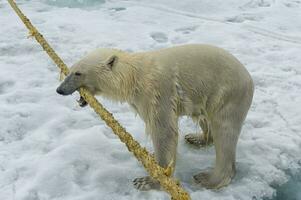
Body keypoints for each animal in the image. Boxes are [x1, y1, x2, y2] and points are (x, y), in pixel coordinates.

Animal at [56, 44, 253, 190]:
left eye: (78, 73)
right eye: (70, 70)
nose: (59, 90)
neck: (134, 76)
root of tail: (249, 78)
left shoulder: (157, 92)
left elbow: (164, 131)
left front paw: (148, 180)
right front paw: (151, 155)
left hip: (227, 95)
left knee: (225, 132)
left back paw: (208, 178)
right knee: (205, 119)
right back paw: (196, 138)